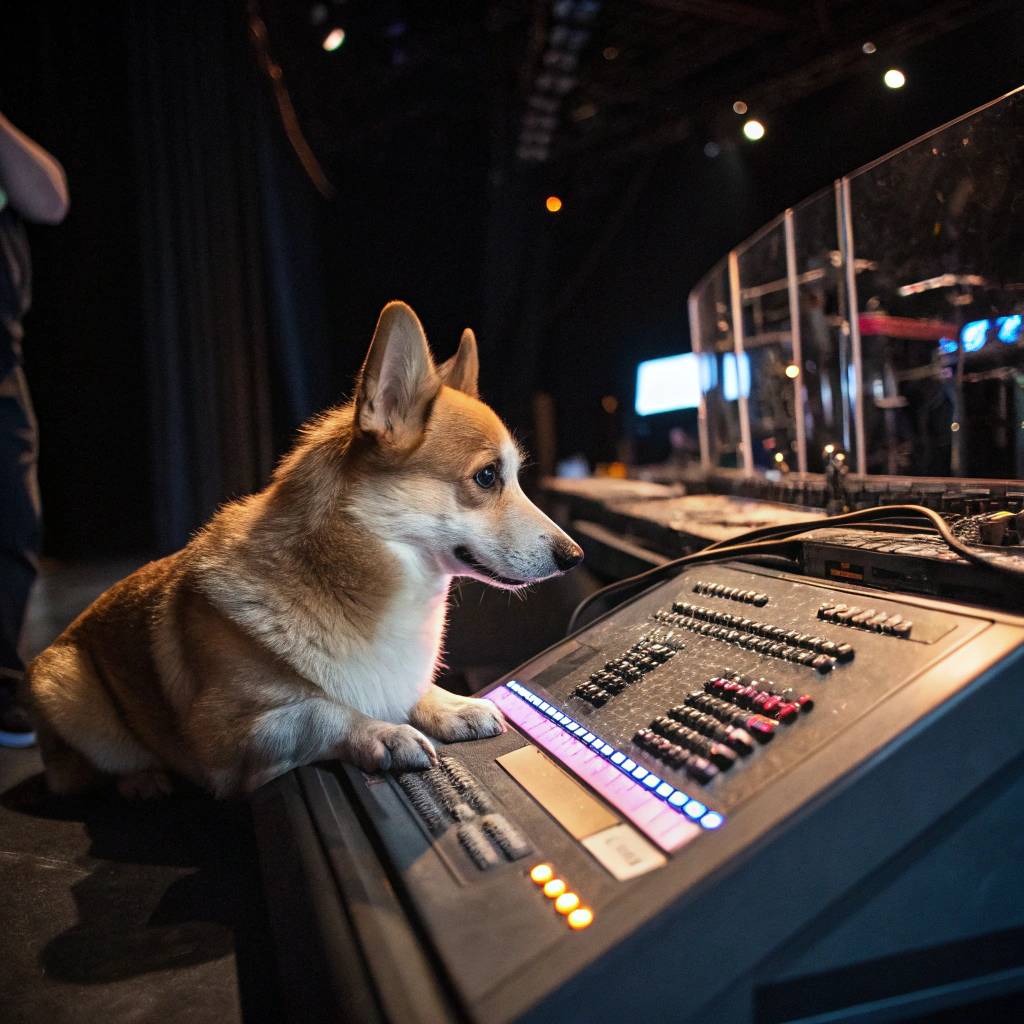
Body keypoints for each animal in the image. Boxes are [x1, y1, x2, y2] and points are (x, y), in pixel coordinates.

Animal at [25, 303, 585, 798]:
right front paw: (383, 733)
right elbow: (319, 710)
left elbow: (409, 690)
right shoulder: (227, 738)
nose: (575, 557)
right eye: (487, 477)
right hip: (69, 692)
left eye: (514, 476)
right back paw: (142, 780)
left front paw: (451, 705)